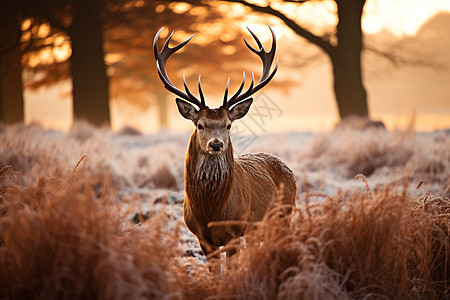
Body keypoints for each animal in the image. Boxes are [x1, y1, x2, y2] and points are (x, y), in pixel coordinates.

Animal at [153, 25, 298, 258]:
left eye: (228, 125)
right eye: (200, 125)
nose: (216, 144)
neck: (210, 212)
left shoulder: (233, 232)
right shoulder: (201, 237)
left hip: (284, 214)